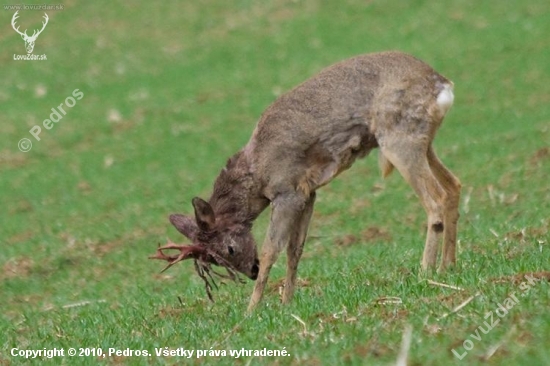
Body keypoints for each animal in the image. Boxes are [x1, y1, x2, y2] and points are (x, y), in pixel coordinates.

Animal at [160, 50, 462, 310]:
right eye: (215, 259)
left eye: (230, 249)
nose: (251, 271)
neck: (257, 172)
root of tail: (443, 85)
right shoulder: (308, 192)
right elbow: (296, 249)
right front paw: (286, 303)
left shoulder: (287, 191)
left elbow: (271, 250)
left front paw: (252, 308)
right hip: (422, 142)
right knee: (453, 186)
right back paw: (447, 266)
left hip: (399, 138)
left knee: (435, 199)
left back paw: (425, 271)